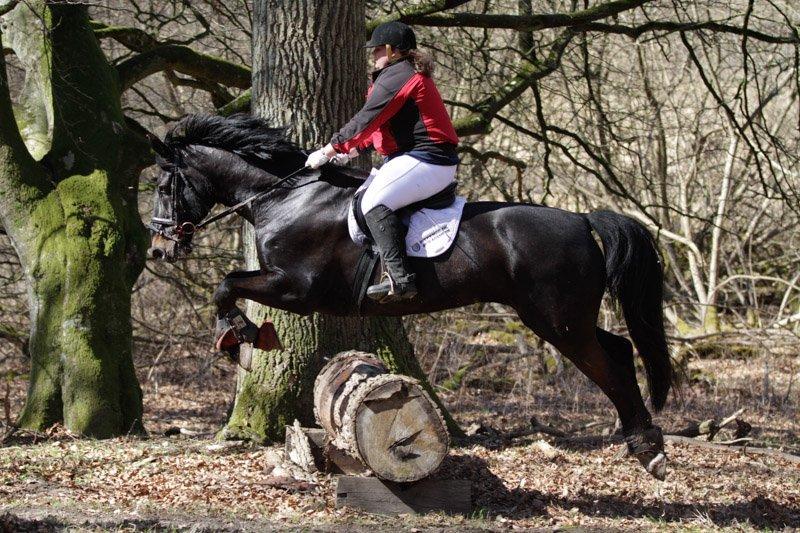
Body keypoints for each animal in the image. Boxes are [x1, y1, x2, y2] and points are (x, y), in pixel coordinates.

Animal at [147, 112, 672, 478]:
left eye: (162, 184)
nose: (158, 248)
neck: (286, 198)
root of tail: (583, 219)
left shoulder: (296, 288)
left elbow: (225, 284)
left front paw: (239, 335)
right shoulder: (287, 284)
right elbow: (230, 283)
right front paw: (243, 335)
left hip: (556, 321)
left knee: (609, 367)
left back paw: (648, 450)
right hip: (566, 317)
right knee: (620, 349)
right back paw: (645, 442)